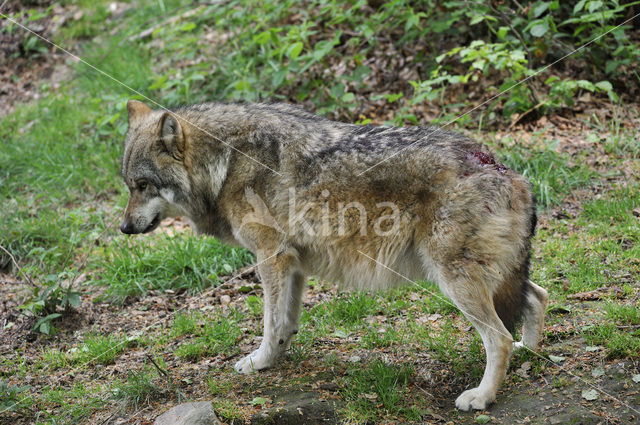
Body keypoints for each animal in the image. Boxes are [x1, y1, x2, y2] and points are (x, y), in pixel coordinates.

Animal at [121, 99, 552, 410]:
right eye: (128, 185)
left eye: (143, 185)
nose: (123, 229)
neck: (225, 163)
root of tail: (507, 169)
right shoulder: (292, 263)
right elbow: (285, 322)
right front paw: (276, 358)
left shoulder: (270, 257)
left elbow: (268, 322)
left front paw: (258, 362)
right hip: (496, 276)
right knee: (537, 298)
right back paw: (527, 354)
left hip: (453, 280)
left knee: (498, 337)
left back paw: (482, 397)